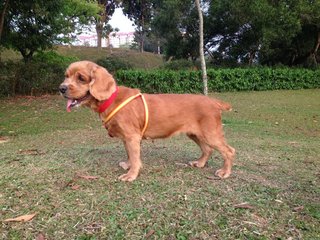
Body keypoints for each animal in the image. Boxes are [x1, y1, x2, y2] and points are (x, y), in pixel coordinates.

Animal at [59, 61, 235, 181]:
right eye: (66, 76)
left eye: (81, 78)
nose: (61, 88)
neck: (111, 99)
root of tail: (214, 101)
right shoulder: (126, 138)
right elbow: (130, 155)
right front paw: (128, 165)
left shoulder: (132, 137)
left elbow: (135, 157)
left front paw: (131, 174)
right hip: (195, 134)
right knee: (208, 149)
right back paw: (200, 163)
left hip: (211, 133)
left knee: (229, 151)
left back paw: (225, 172)